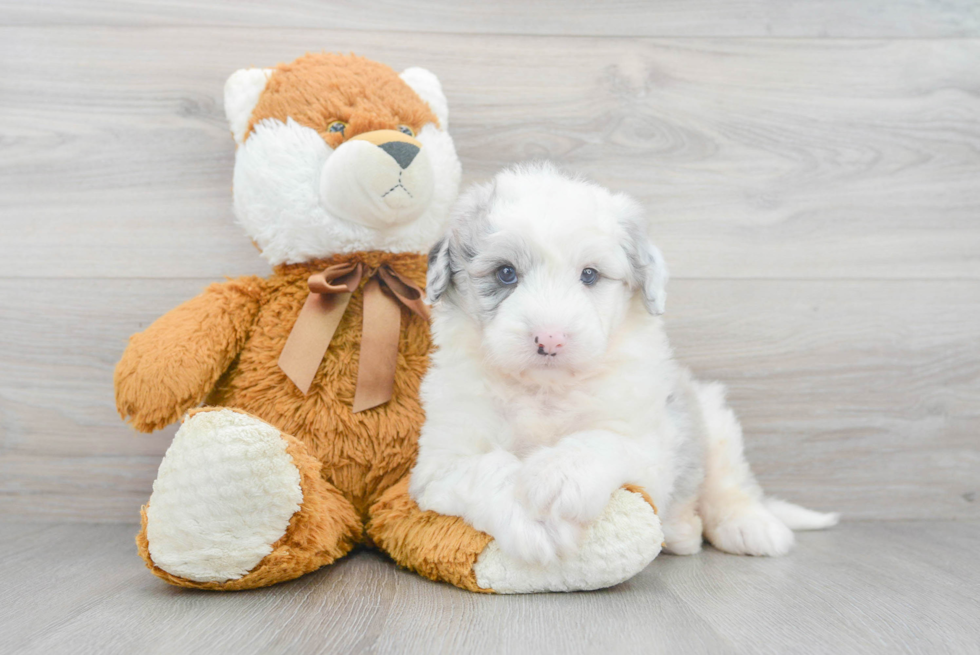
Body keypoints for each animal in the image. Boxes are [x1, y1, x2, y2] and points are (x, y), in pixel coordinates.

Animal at [410, 163, 840, 568]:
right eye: (505, 273)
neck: (545, 390)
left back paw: (748, 526)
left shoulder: (649, 443)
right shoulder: (438, 463)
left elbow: (603, 440)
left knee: (730, 484)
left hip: (713, 419)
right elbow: (487, 469)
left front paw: (558, 477)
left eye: (589, 275)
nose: (550, 339)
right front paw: (535, 521)